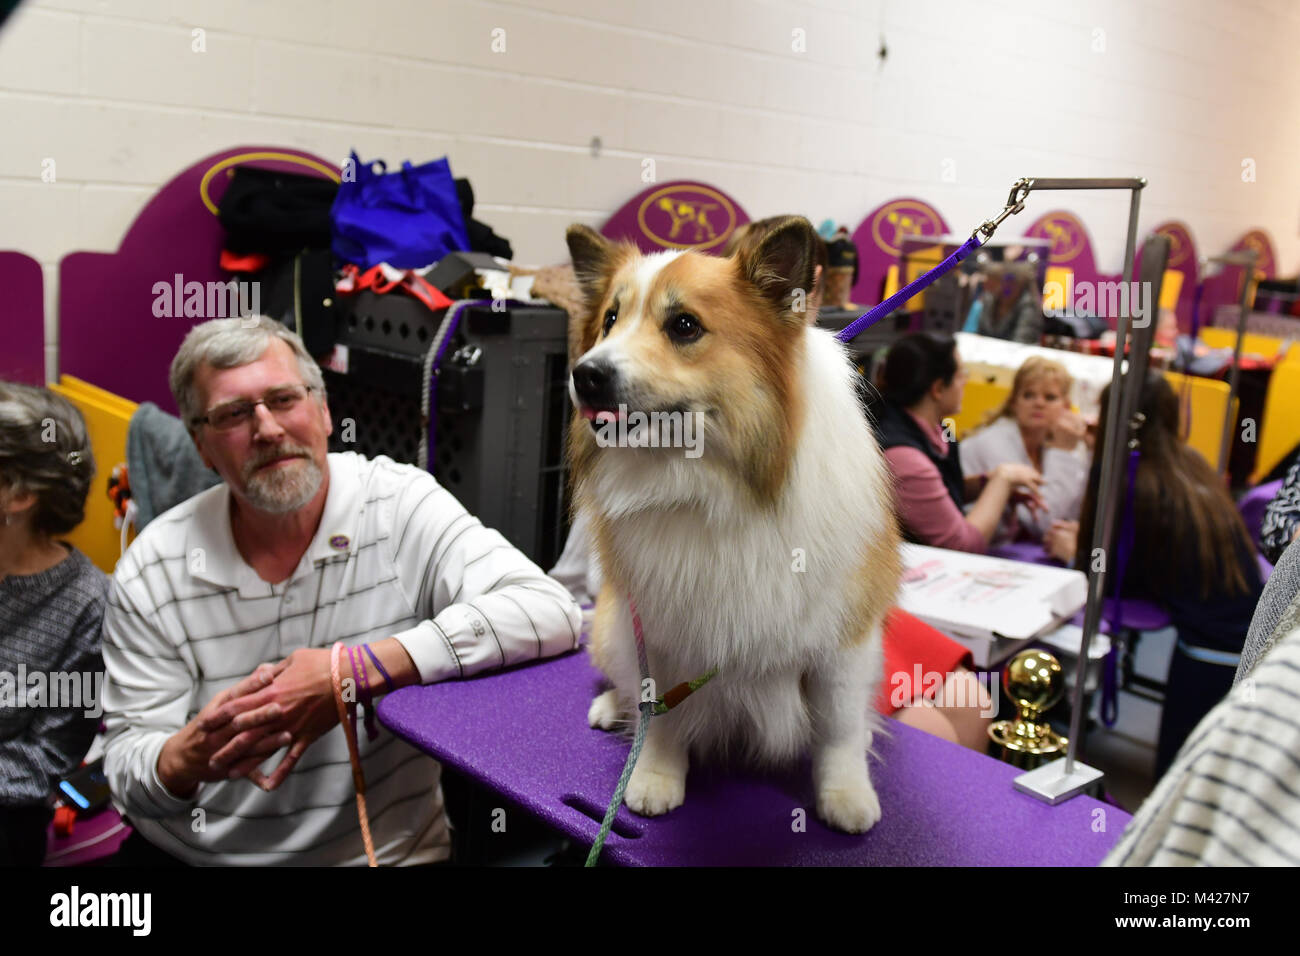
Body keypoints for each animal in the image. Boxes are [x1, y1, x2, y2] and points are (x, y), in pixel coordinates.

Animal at [569, 217, 904, 832]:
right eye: (609, 319)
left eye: (684, 325)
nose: (586, 375)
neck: (716, 486)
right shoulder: (664, 631)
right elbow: (662, 715)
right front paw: (655, 775)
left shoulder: (843, 641)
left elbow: (840, 729)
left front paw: (846, 794)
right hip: (610, 628)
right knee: (626, 687)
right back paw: (612, 708)